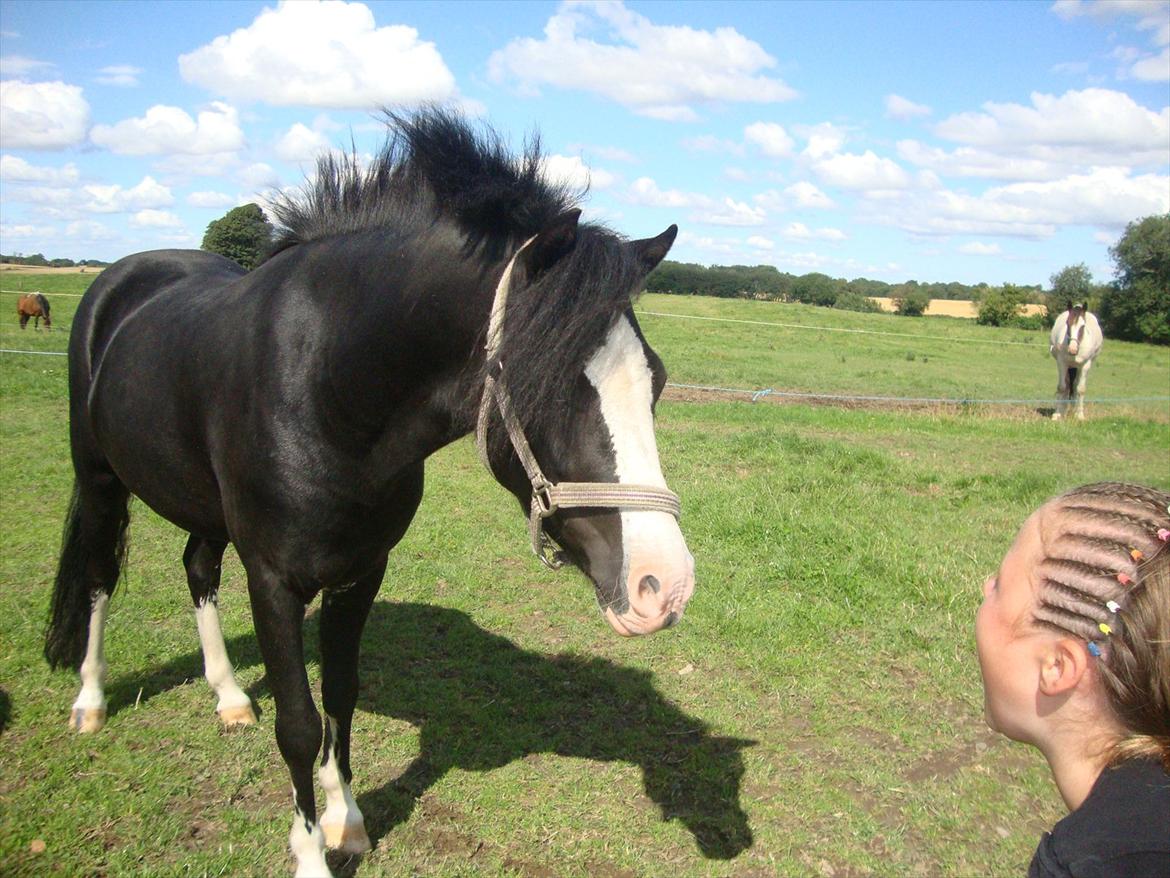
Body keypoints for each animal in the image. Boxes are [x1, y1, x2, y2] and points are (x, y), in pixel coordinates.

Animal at [45, 111, 692, 878]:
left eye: (655, 379)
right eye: (549, 386)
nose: (665, 586)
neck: (324, 382)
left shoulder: (360, 571)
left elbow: (340, 695)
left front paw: (346, 821)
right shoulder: (273, 578)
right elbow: (299, 723)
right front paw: (310, 855)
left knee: (197, 568)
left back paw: (229, 696)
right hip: (100, 480)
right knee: (98, 575)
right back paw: (89, 701)